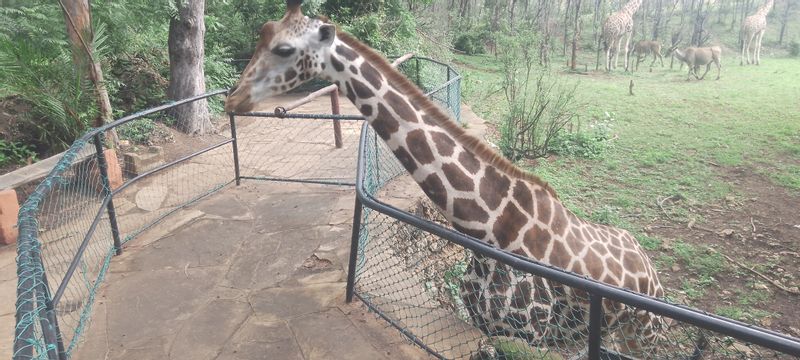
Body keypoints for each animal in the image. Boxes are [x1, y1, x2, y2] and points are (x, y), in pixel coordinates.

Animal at [225, 0, 668, 356]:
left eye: (284, 49)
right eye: (263, 33)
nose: (234, 99)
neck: (488, 230)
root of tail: (649, 266)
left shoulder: (531, 333)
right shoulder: (487, 324)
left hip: (645, 333)